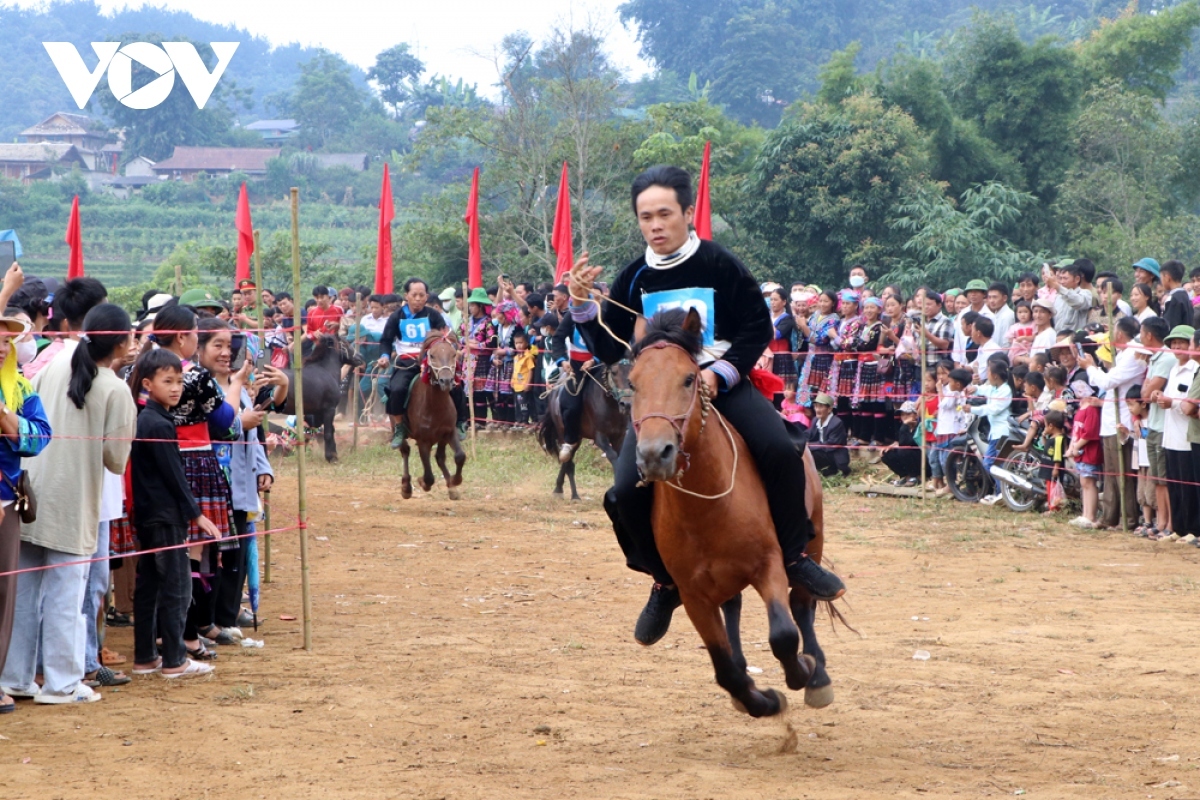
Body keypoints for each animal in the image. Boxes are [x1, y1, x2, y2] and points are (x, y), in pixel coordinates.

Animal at [283, 333, 362, 462]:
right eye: (345, 343)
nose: (360, 357)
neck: (326, 371)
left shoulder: (317, 413)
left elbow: (327, 430)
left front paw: (334, 454)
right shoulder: (329, 409)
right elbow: (328, 433)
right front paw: (331, 457)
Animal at [398, 331, 463, 501]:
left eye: (453, 354)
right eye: (432, 355)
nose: (446, 381)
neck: (435, 407)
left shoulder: (449, 431)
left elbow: (460, 456)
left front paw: (456, 480)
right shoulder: (423, 441)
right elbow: (428, 477)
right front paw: (422, 482)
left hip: (441, 437)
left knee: (439, 457)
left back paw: (451, 487)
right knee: (405, 450)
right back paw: (406, 487)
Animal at [537, 362, 633, 501]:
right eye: (614, 372)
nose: (627, 404)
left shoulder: (619, 437)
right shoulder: (600, 437)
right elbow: (612, 456)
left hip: (577, 438)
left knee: (567, 460)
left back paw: (559, 489)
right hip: (564, 433)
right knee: (568, 462)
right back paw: (573, 495)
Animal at [628, 309, 835, 719]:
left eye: (689, 378)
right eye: (632, 383)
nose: (654, 454)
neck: (706, 507)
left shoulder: (769, 565)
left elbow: (784, 635)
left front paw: (802, 671)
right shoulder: (693, 594)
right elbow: (724, 668)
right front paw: (761, 700)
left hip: (814, 538)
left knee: (802, 603)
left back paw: (818, 675)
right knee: (733, 606)